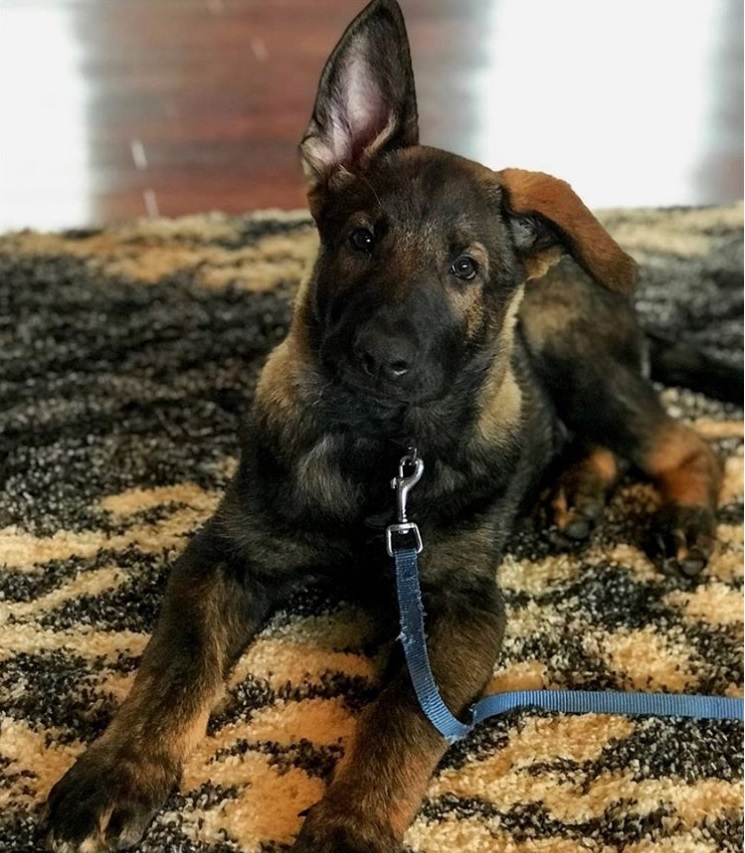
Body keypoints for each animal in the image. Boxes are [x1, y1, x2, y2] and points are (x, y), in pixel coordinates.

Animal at [39, 1, 720, 852]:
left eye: (464, 268)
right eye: (362, 239)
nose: (380, 358)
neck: (379, 450)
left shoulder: (459, 608)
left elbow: (402, 719)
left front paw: (352, 820)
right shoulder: (223, 556)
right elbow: (174, 666)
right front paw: (118, 769)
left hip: (572, 353)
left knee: (683, 441)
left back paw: (683, 517)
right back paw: (574, 495)